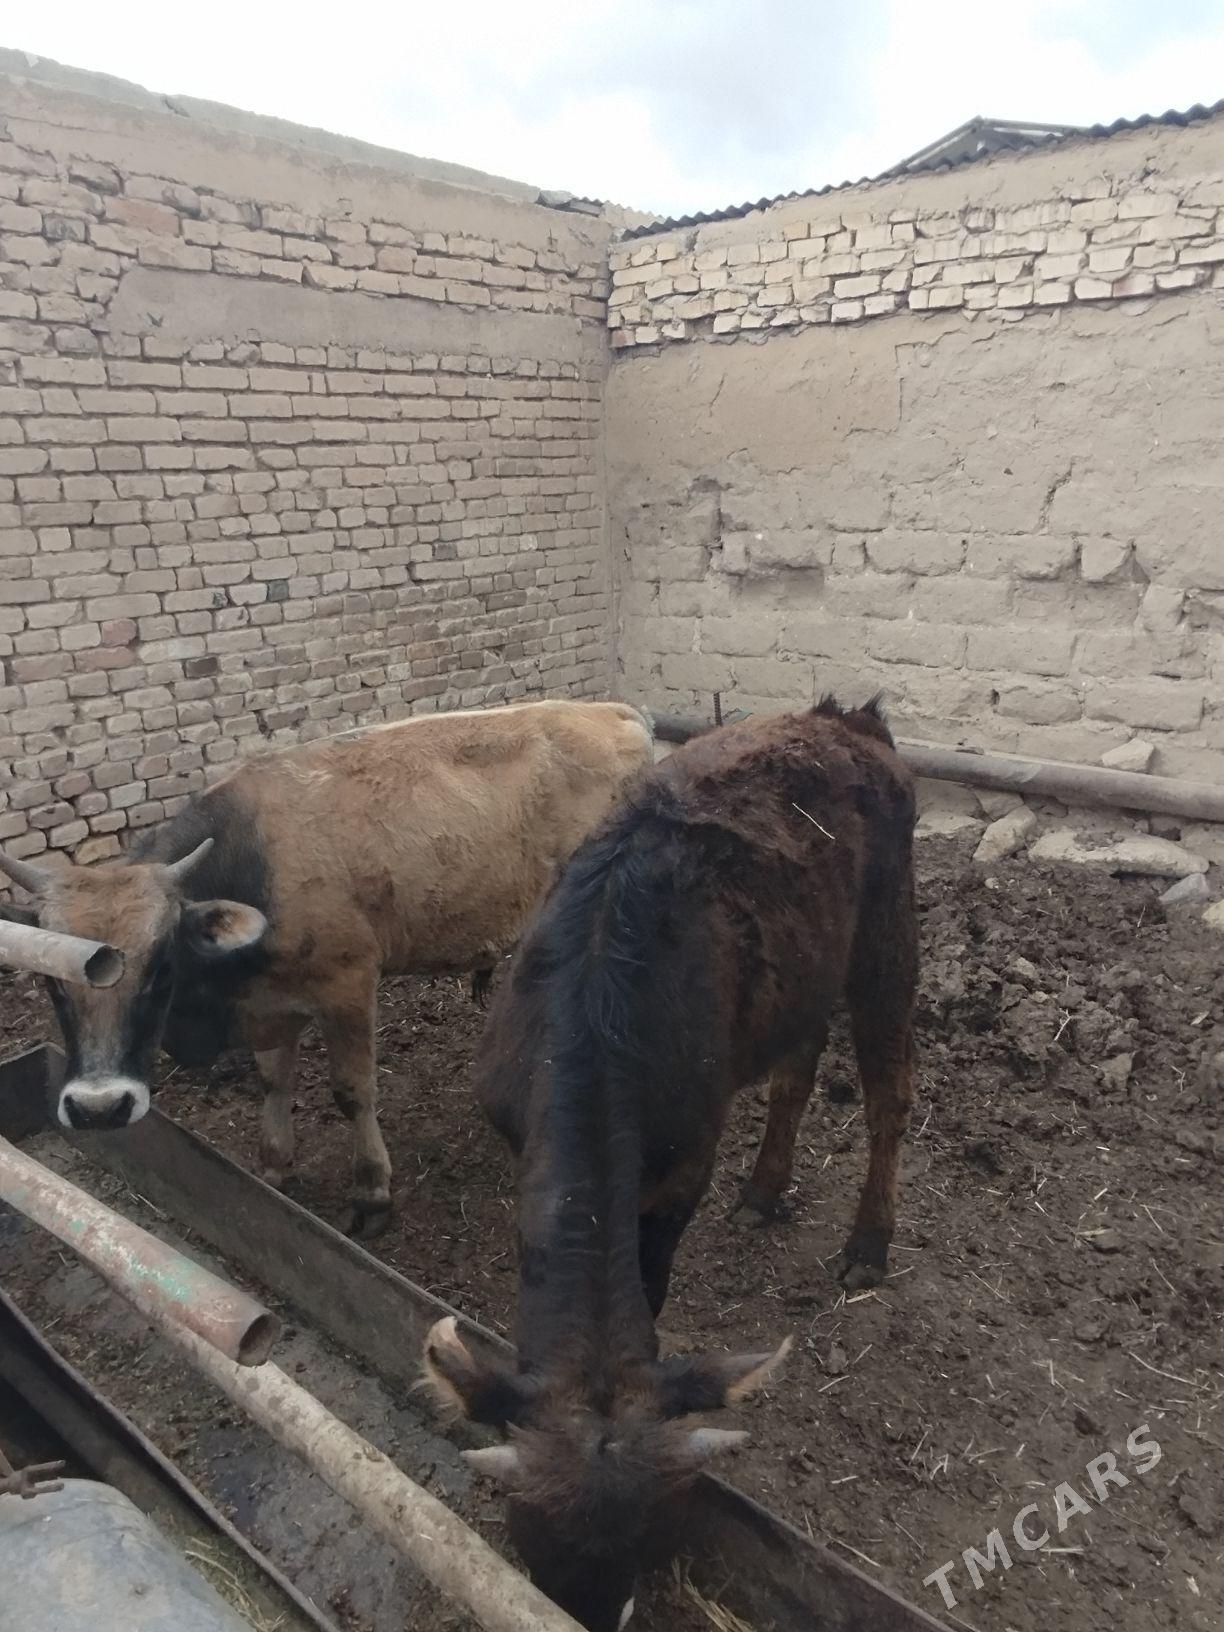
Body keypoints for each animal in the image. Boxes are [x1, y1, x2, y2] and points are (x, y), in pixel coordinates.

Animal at [0, 699, 653, 1236]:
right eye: (50, 980)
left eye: (161, 965)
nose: (99, 1108)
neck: (254, 864)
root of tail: (613, 712)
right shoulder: (268, 1002)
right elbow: (274, 1080)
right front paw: (275, 1166)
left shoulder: (348, 985)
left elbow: (351, 1091)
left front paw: (371, 1191)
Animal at [423, 698, 917, 1631]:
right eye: (531, 1529)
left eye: (650, 1534)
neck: (593, 1016)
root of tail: (844, 719)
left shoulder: (687, 1159)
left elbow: (653, 1280)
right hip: (802, 973)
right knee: (798, 1069)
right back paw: (763, 1191)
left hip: (887, 936)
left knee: (889, 1094)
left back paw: (869, 1242)